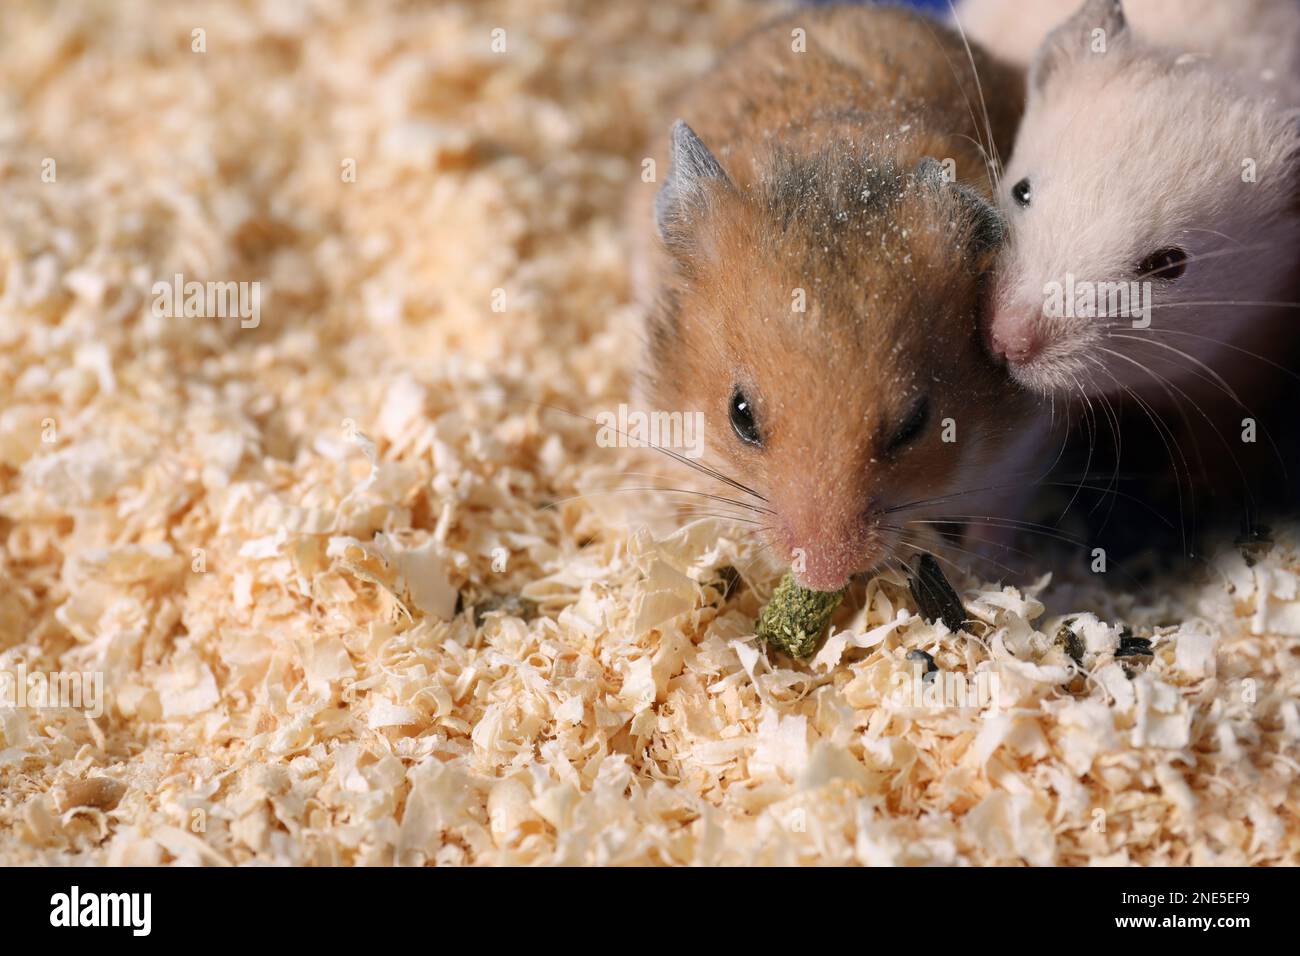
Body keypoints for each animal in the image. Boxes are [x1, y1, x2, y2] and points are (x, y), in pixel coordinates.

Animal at [631, 4, 1044, 592]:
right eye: (740, 415)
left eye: (915, 423)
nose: (823, 575)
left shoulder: (1023, 445)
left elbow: (998, 515)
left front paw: (979, 571)